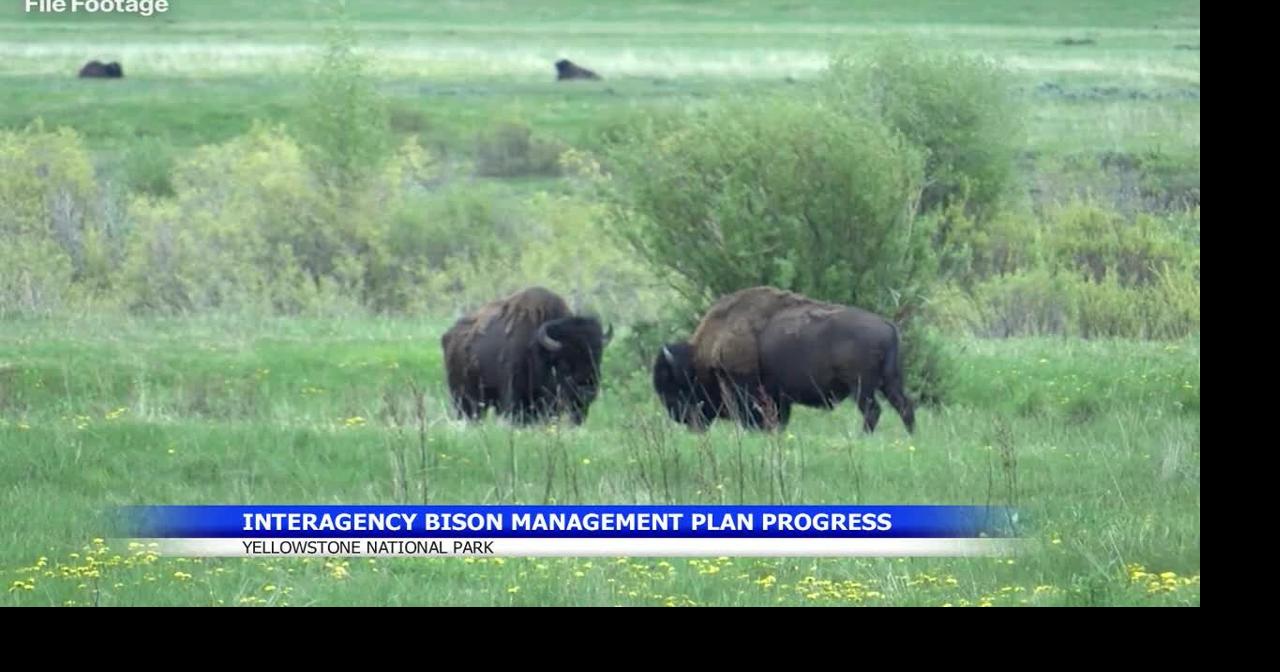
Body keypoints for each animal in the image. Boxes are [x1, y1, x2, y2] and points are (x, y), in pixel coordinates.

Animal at [442, 287, 612, 426]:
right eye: (563, 362)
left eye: (597, 359)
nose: (587, 391)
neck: (537, 349)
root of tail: (449, 335)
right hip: (464, 399)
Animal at [653, 286, 915, 434]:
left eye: (675, 385)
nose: (677, 416)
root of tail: (887, 325)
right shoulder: (778, 396)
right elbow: (779, 418)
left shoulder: (740, 385)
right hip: (889, 381)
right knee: (904, 405)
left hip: (861, 387)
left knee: (873, 411)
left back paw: (864, 437)